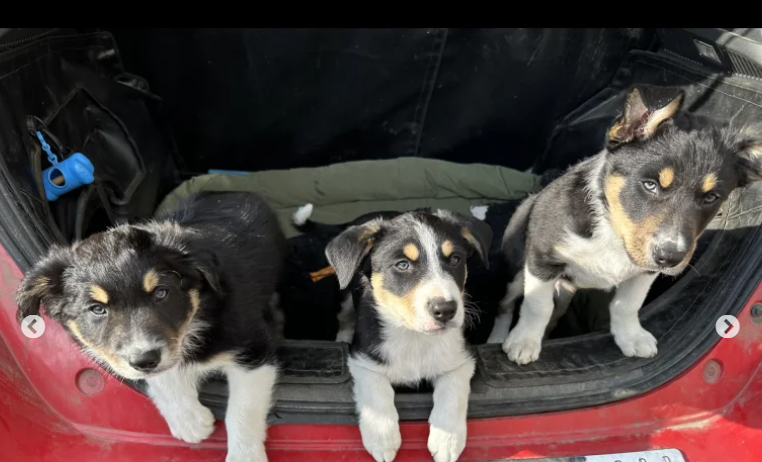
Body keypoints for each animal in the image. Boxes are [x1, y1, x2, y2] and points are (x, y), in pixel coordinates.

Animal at [14, 190, 288, 462]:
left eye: (161, 293)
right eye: (97, 309)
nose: (145, 359)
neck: (197, 317)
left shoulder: (254, 347)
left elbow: (242, 410)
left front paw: (245, 456)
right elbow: (158, 376)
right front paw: (188, 419)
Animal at [324, 210, 490, 462]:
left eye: (454, 259)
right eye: (402, 265)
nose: (445, 310)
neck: (414, 336)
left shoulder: (462, 359)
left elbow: (453, 392)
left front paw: (447, 439)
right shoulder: (362, 359)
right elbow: (376, 388)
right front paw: (381, 437)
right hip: (344, 296)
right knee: (344, 319)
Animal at [484, 84, 760, 364]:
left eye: (711, 197)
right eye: (650, 185)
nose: (670, 258)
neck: (613, 230)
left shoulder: (645, 270)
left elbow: (627, 304)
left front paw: (630, 336)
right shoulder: (542, 256)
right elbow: (537, 305)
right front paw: (524, 341)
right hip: (518, 266)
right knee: (506, 303)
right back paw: (497, 338)